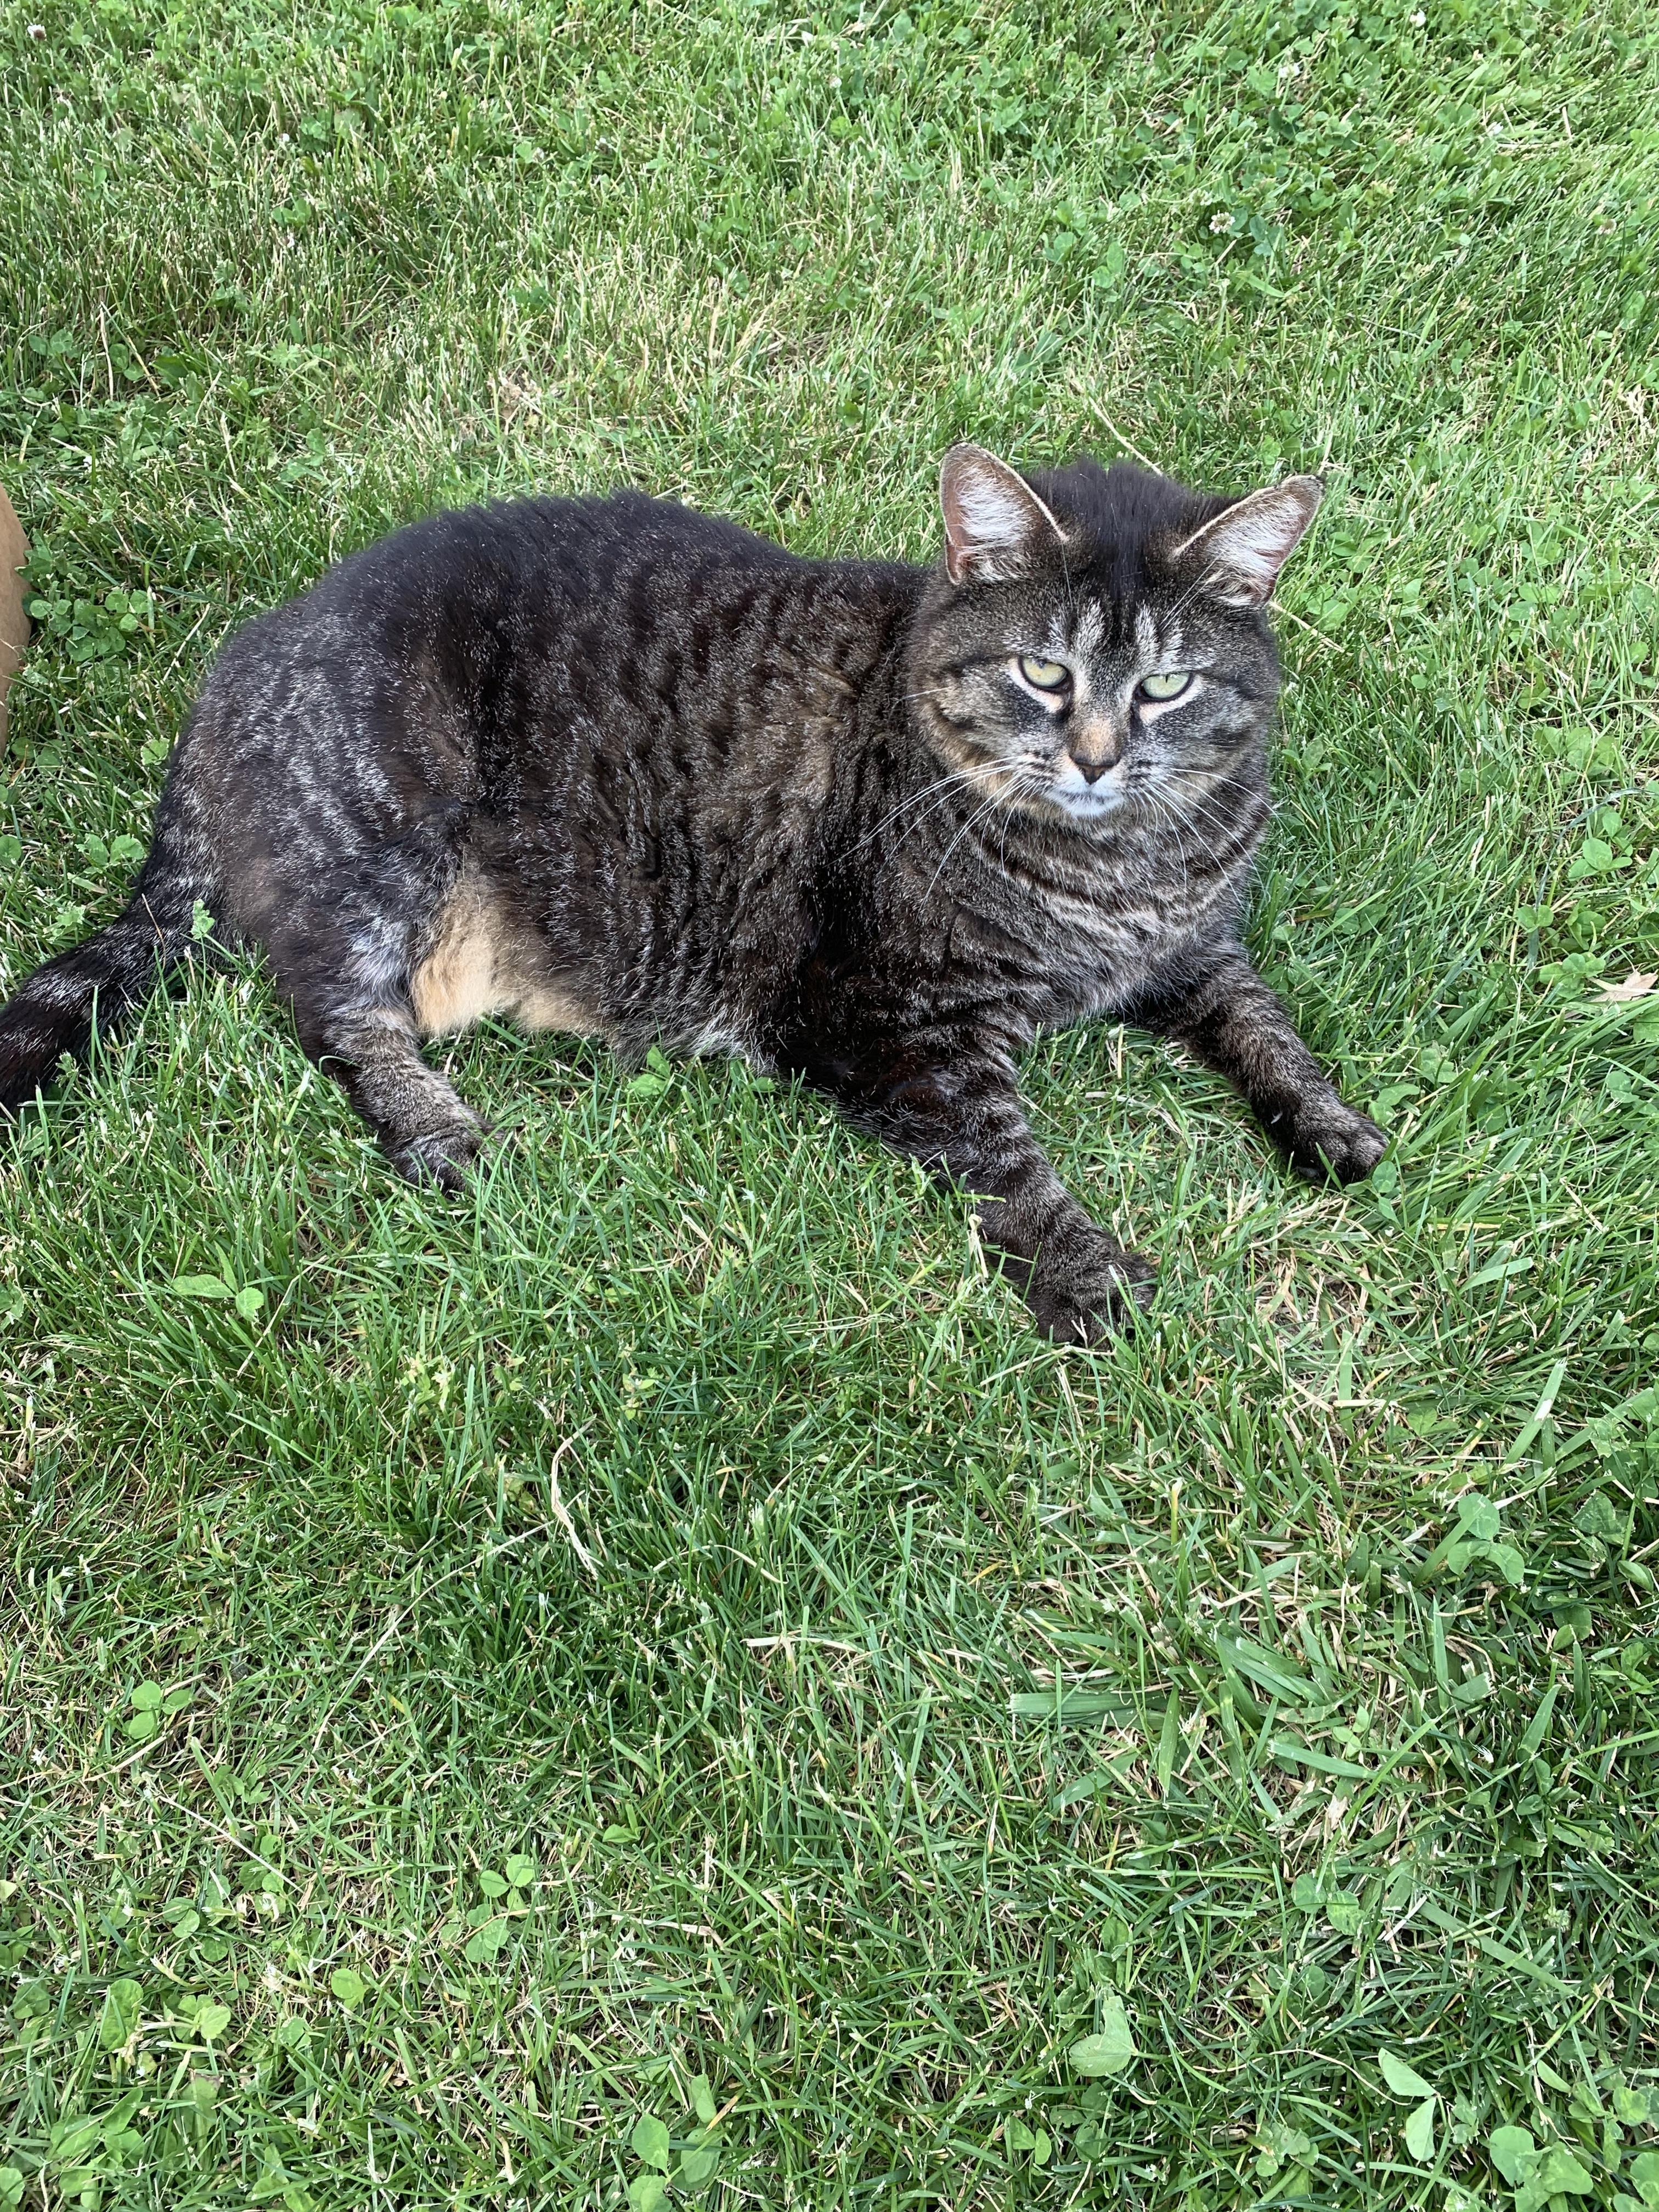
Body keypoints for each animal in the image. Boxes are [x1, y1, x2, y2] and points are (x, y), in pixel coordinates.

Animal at [0, 447, 1389, 1336]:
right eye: (1043, 675)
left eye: (1166, 687)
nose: (1097, 756)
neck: (1121, 869)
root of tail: (241, 662)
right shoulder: (894, 1024)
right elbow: (1009, 1162)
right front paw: (1090, 1277)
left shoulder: (1195, 951)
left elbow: (1263, 1018)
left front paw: (1325, 1120)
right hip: (382, 835)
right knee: (334, 1014)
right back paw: (442, 1130)